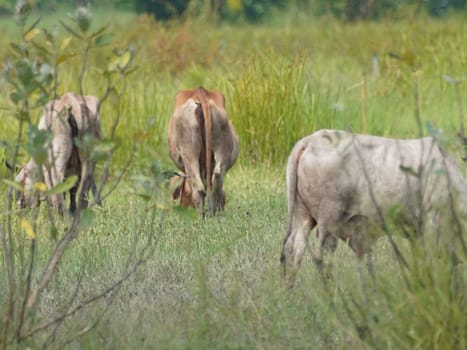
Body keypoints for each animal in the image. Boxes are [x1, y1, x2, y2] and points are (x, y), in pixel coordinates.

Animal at [169, 86, 239, 215]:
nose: (183, 207)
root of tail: (200, 93)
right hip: (221, 149)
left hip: (188, 153)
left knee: (199, 188)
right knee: (217, 179)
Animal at [282, 130, 467, 284]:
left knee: (293, 250)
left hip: (303, 216)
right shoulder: (430, 225)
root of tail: (311, 140)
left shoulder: (415, 232)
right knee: (324, 257)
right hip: (329, 221)